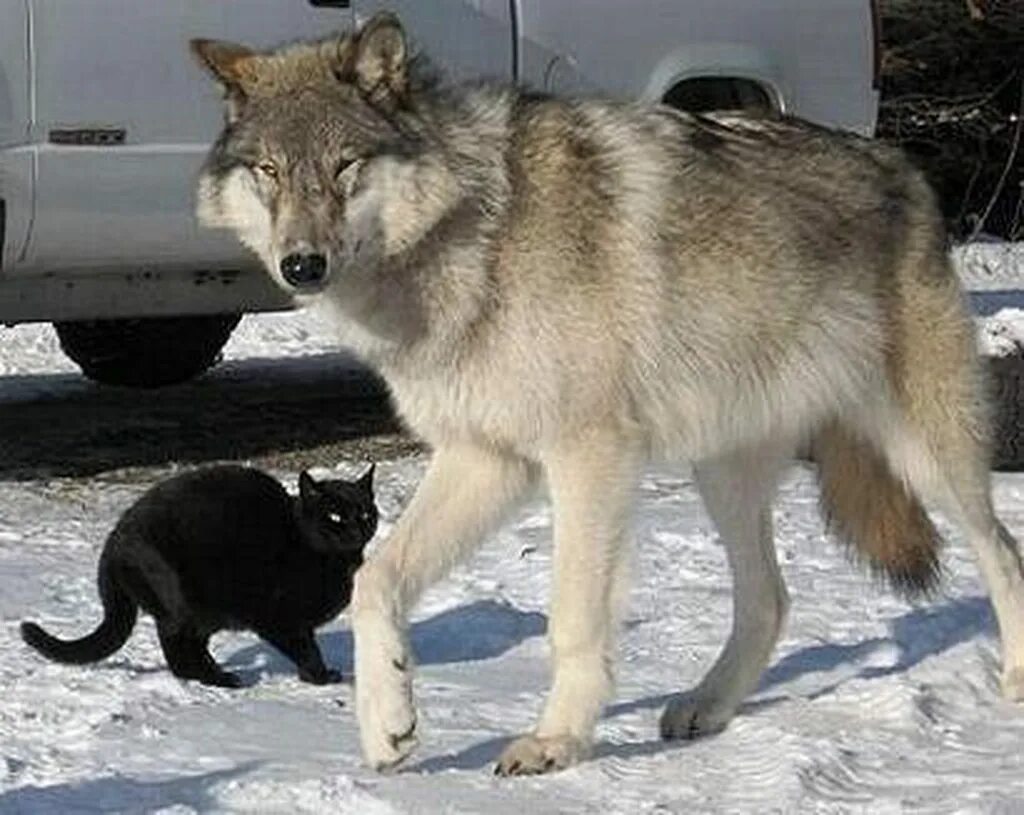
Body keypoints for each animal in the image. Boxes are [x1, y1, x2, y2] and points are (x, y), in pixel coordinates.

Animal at [19, 464, 378, 688]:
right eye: (334, 516)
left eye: (364, 513)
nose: (356, 530)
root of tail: (113, 541)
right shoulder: (279, 618)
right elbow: (306, 648)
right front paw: (320, 677)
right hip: (183, 600)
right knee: (176, 645)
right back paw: (219, 680)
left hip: (207, 612)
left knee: (191, 647)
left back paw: (217, 673)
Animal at [188, 12, 1024, 774]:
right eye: (269, 171)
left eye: (345, 165)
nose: (302, 265)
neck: (472, 232)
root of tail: (905, 166)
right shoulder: (485, 455)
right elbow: (374, 578)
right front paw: (387, 726)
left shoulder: (588, 456)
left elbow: (573, 618)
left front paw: (555, 740)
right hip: (722, 472)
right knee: (770, 599)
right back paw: (705, 706)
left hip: (926, 453)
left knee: (1002, 549)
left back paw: (1014, 680)